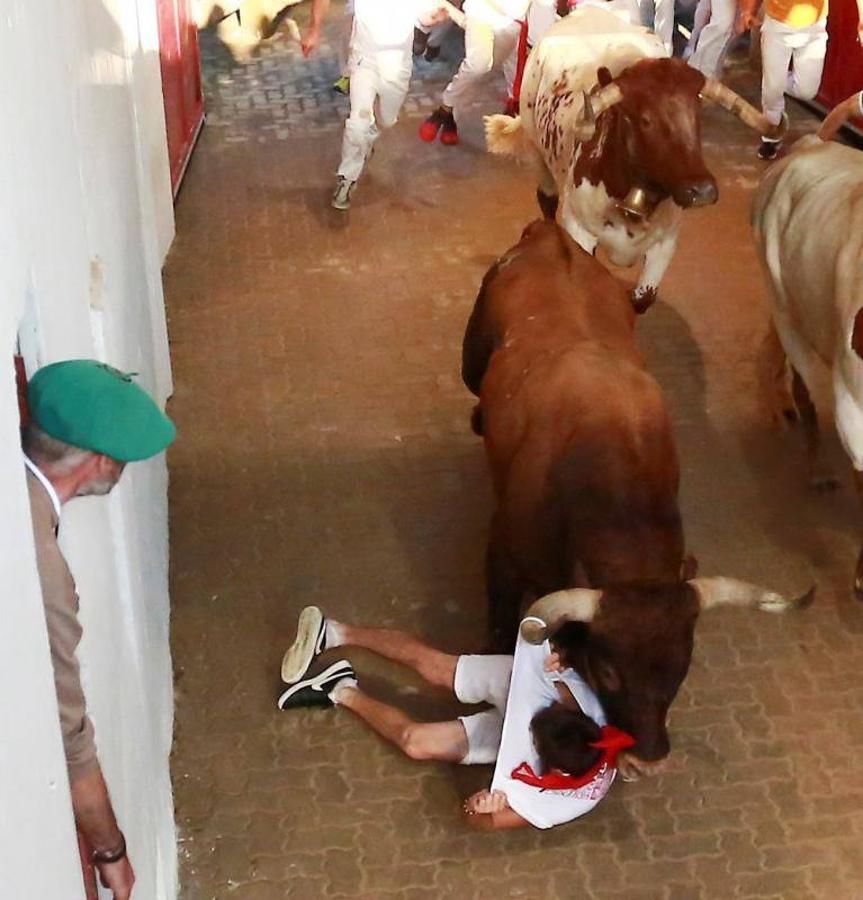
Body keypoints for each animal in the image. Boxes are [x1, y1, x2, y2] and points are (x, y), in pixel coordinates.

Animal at [486, 7, 784, 312]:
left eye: (696, 114)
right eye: (645, 119)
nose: (701, 190)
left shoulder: (666, 244)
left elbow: (643, 298)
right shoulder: (579, 231)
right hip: (537, 150)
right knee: (546, 197)